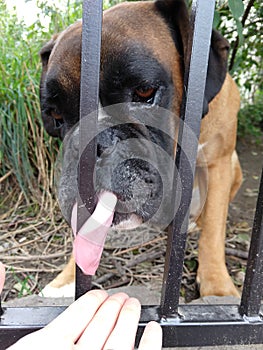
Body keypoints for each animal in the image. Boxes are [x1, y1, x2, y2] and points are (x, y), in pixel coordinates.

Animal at [39, 0, 243, 296]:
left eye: (145, 92)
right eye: (55, 115)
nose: (86, 145)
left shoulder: (220, 161)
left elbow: (214, 228)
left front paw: (217, 286)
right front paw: (66, 279)